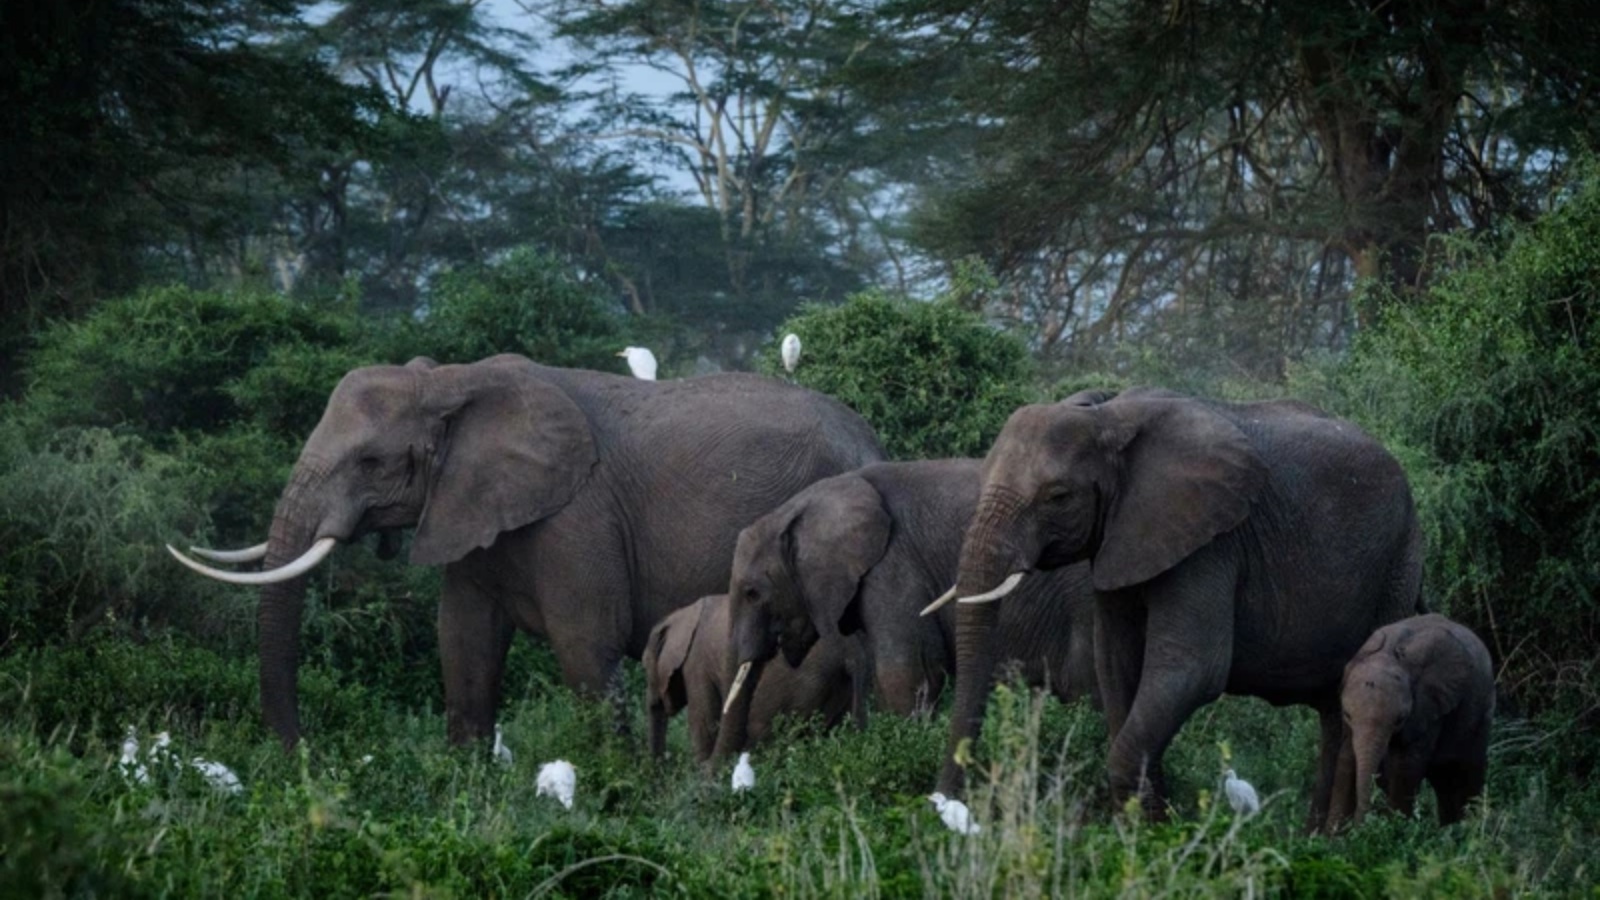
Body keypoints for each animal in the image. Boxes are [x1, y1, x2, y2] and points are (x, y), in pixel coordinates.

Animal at [640, 592, 864, 759]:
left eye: (645, 666)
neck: (681, 614)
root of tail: (849, 652)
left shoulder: (696, 662)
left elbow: (704, 726)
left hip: (804, 680)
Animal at [934, 385, 1427, 826]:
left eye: (1058, 496)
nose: (948, 803)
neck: (1107, 416)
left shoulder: (1212, 543)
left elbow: (1191, 670)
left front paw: (1151, 836)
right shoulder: (1121, 538)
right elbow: (1116, 664)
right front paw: (1145, 830)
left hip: (1396, 565)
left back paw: (1345, 841)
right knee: (1333, 711)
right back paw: (1318, 839)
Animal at [1331, 608, 1491, 826]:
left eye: (1400, 719)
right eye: (1347, 715)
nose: (1360, 824)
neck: (1388, 655)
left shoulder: (1428, 708)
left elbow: (1405, 766)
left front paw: (1394, 829)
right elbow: (1346, 758)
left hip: (1481, 712)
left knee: (1467, 775)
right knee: (1445, 783)